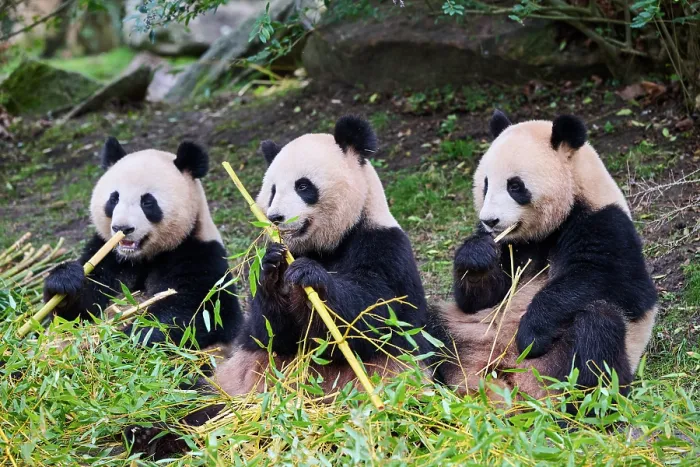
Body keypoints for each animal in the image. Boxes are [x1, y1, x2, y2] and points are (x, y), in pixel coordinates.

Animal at [43, 137, 242, 348]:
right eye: (114, 198)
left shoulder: (199, 255)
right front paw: (64, 280)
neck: (142, 257)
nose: (122, 227)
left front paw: (122, 340)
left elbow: (196, 314)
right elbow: (78, 313)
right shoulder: (107, 255)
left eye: (147, 202)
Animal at [432, 111, 658, 400]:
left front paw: (531, 335)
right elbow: (481, 299)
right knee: (427, 326)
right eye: (485, 184)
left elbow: (617, 284)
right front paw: (477, 254)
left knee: (598, 327)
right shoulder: (513, 246)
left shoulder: (606, 224)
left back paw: (580, 403)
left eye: (515, 186)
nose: (490, 221)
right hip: (469, 332)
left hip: (563, 364)